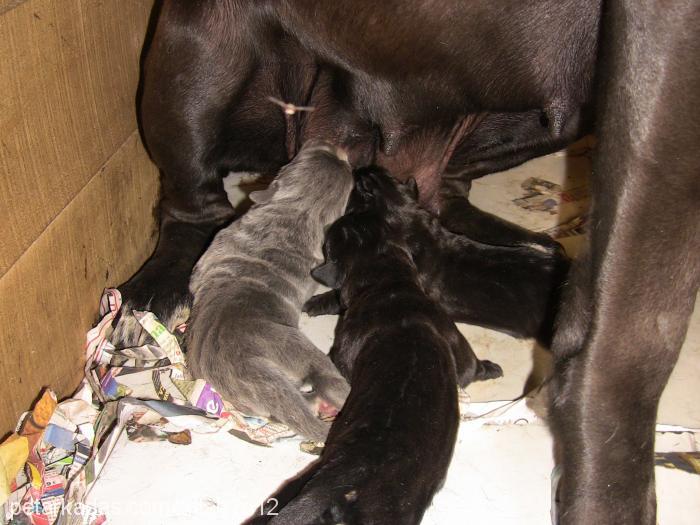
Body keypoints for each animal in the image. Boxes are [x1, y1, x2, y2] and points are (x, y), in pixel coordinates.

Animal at [246, 170, 504, 520]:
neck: (389, 281)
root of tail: (345, 479)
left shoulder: (342, 352)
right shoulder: (453, 340)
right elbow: (469, 367)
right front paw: (490, 368)